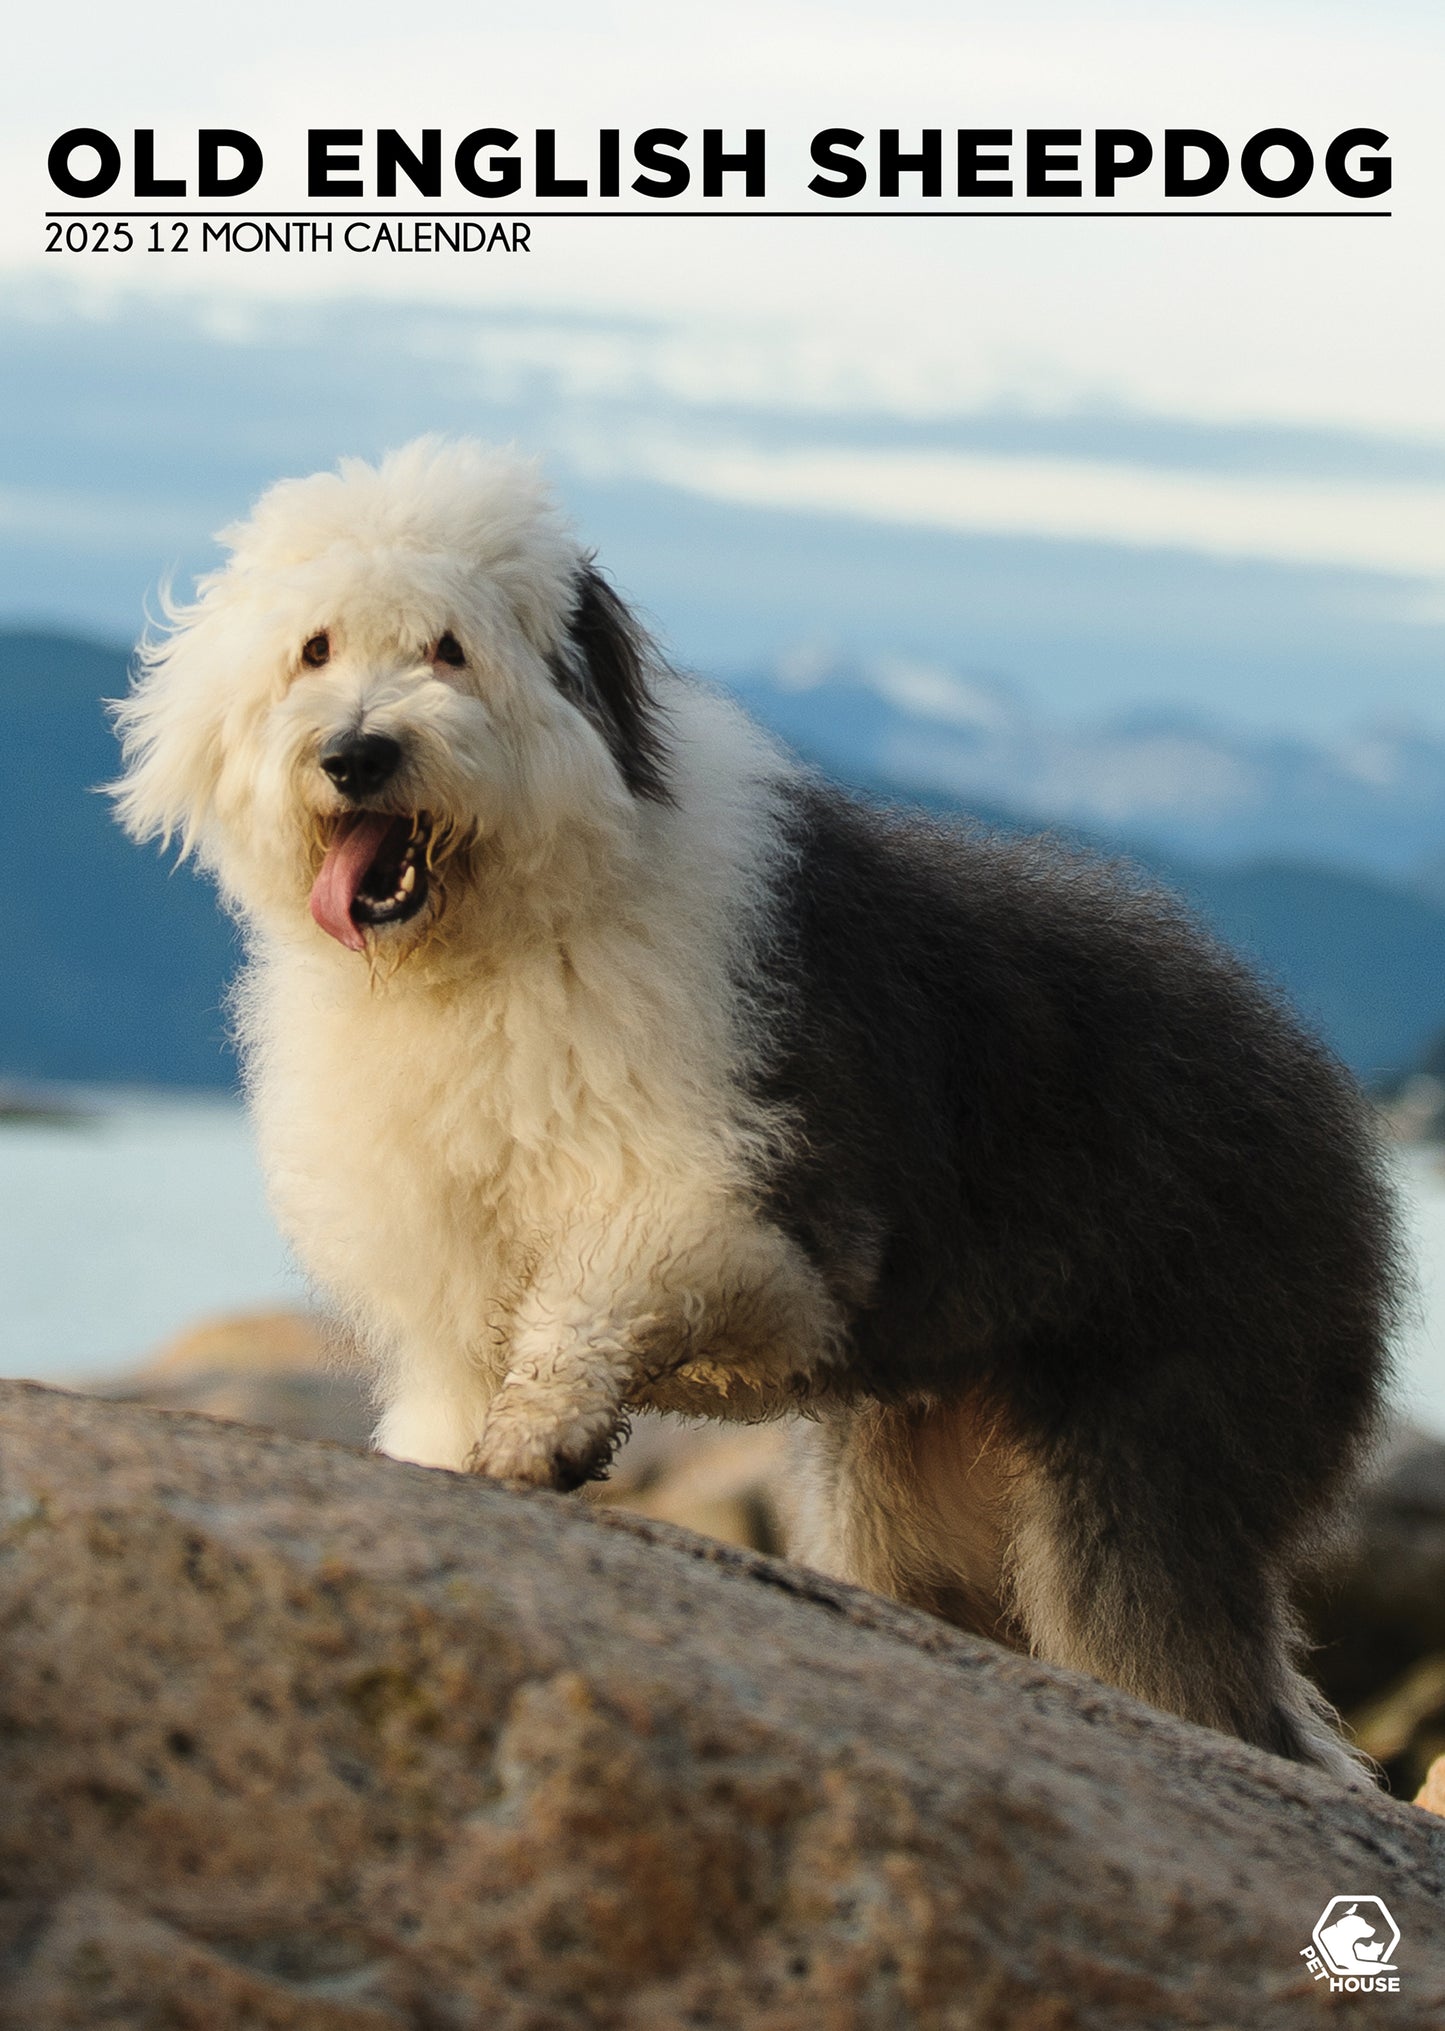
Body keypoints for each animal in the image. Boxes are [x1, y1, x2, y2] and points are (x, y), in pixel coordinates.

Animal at [112, 440, 1398, 1779]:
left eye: (448, 650)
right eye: (313, 650)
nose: (356, 753)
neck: (491, 946)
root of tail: (1319, 1076)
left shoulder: (751, 1202)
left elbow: (610, 1281)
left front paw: (544, 1432)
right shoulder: (449, 1276)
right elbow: (448, 1387)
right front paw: (466, 1460)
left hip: (1163, 1438)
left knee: (1204, 1674)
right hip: (914, 1483)